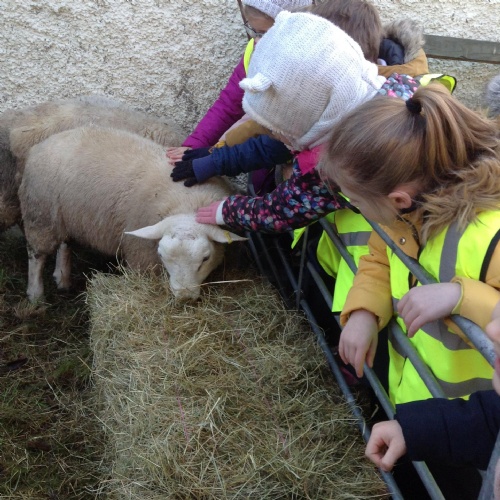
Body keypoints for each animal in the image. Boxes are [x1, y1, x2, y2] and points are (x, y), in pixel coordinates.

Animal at [19, 125, 246, 302]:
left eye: (206, 258)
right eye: (161, 256)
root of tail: (43, 143)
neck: (186, 204)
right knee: (36, 255)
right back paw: (35, 294)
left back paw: (63, 277)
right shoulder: (141, 255)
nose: (184, 297)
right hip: (40, 215)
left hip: (65, 214)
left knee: (65, 242)